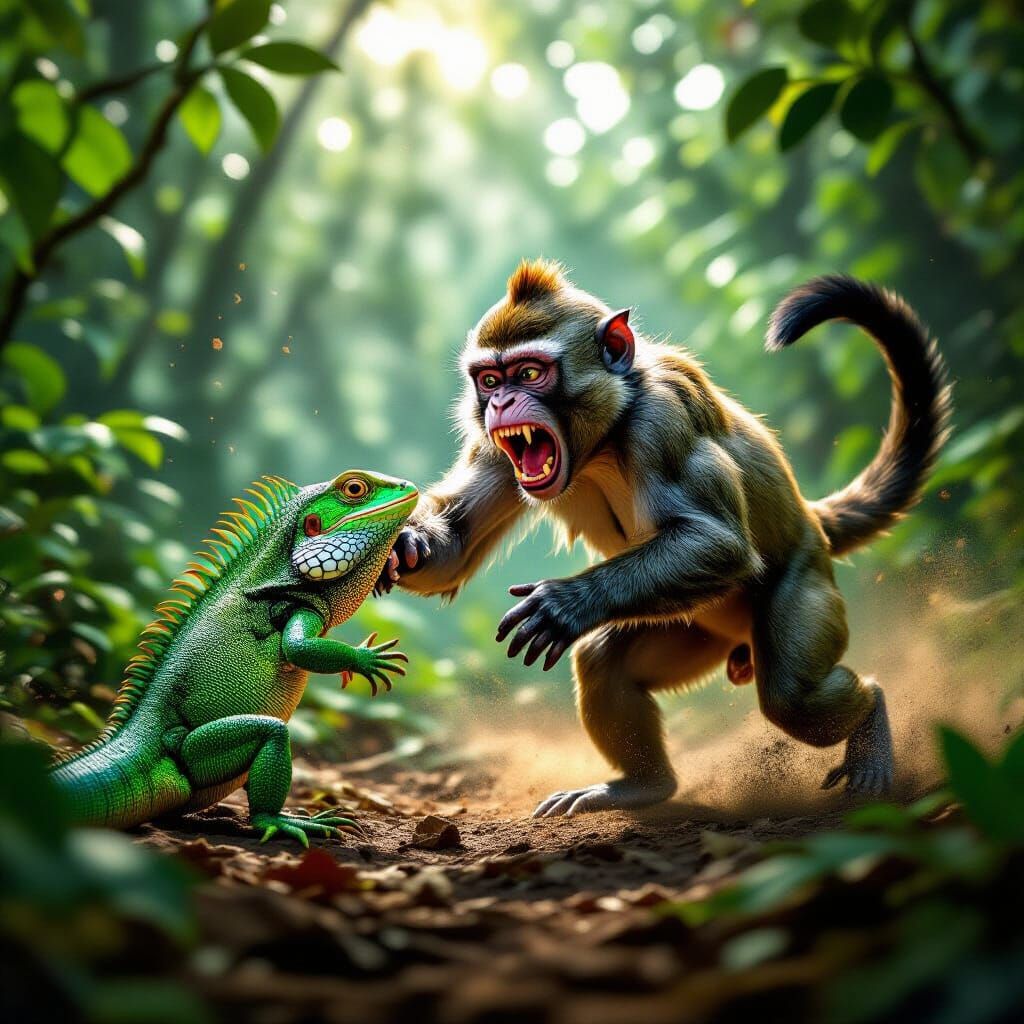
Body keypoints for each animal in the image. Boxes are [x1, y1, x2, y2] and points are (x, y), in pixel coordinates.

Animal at [377, 260, 951, 817]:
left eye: (530, 373)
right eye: (489, 379)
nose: (501, 402)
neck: (602, 440)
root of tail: (812, 521)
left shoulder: (662, 421)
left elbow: (719, 543)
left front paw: (566, 603)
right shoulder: (498, 449)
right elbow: (456, 543)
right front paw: (405, 548)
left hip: (805, 577)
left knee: (793, 698)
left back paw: (872, 713)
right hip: (695, 626)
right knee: (604, 661)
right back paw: (645, 786)